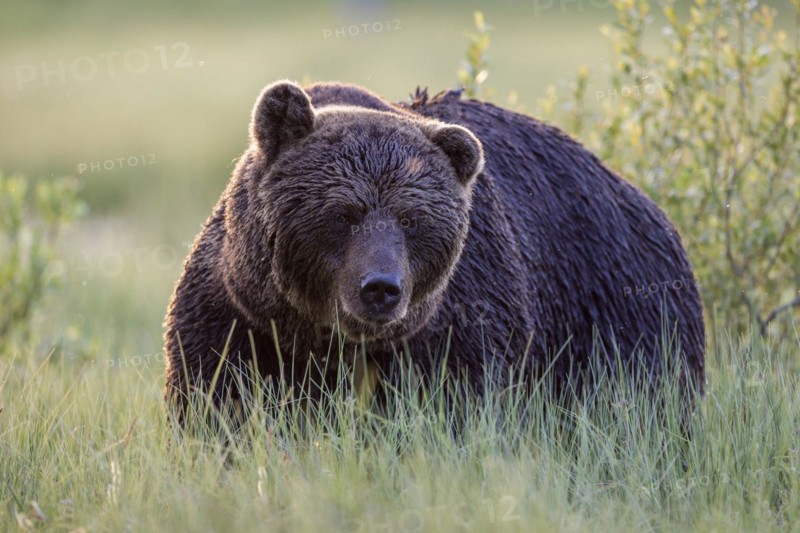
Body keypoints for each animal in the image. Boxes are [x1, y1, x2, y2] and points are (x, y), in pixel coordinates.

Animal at [163, 80, 705, 426]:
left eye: (411, 219)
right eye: (344, 213)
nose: (381, 288)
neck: (321, 333)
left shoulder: (459, 319)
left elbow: (456, 409)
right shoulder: (237, 313)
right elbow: (215, 404)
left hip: (621, 308)